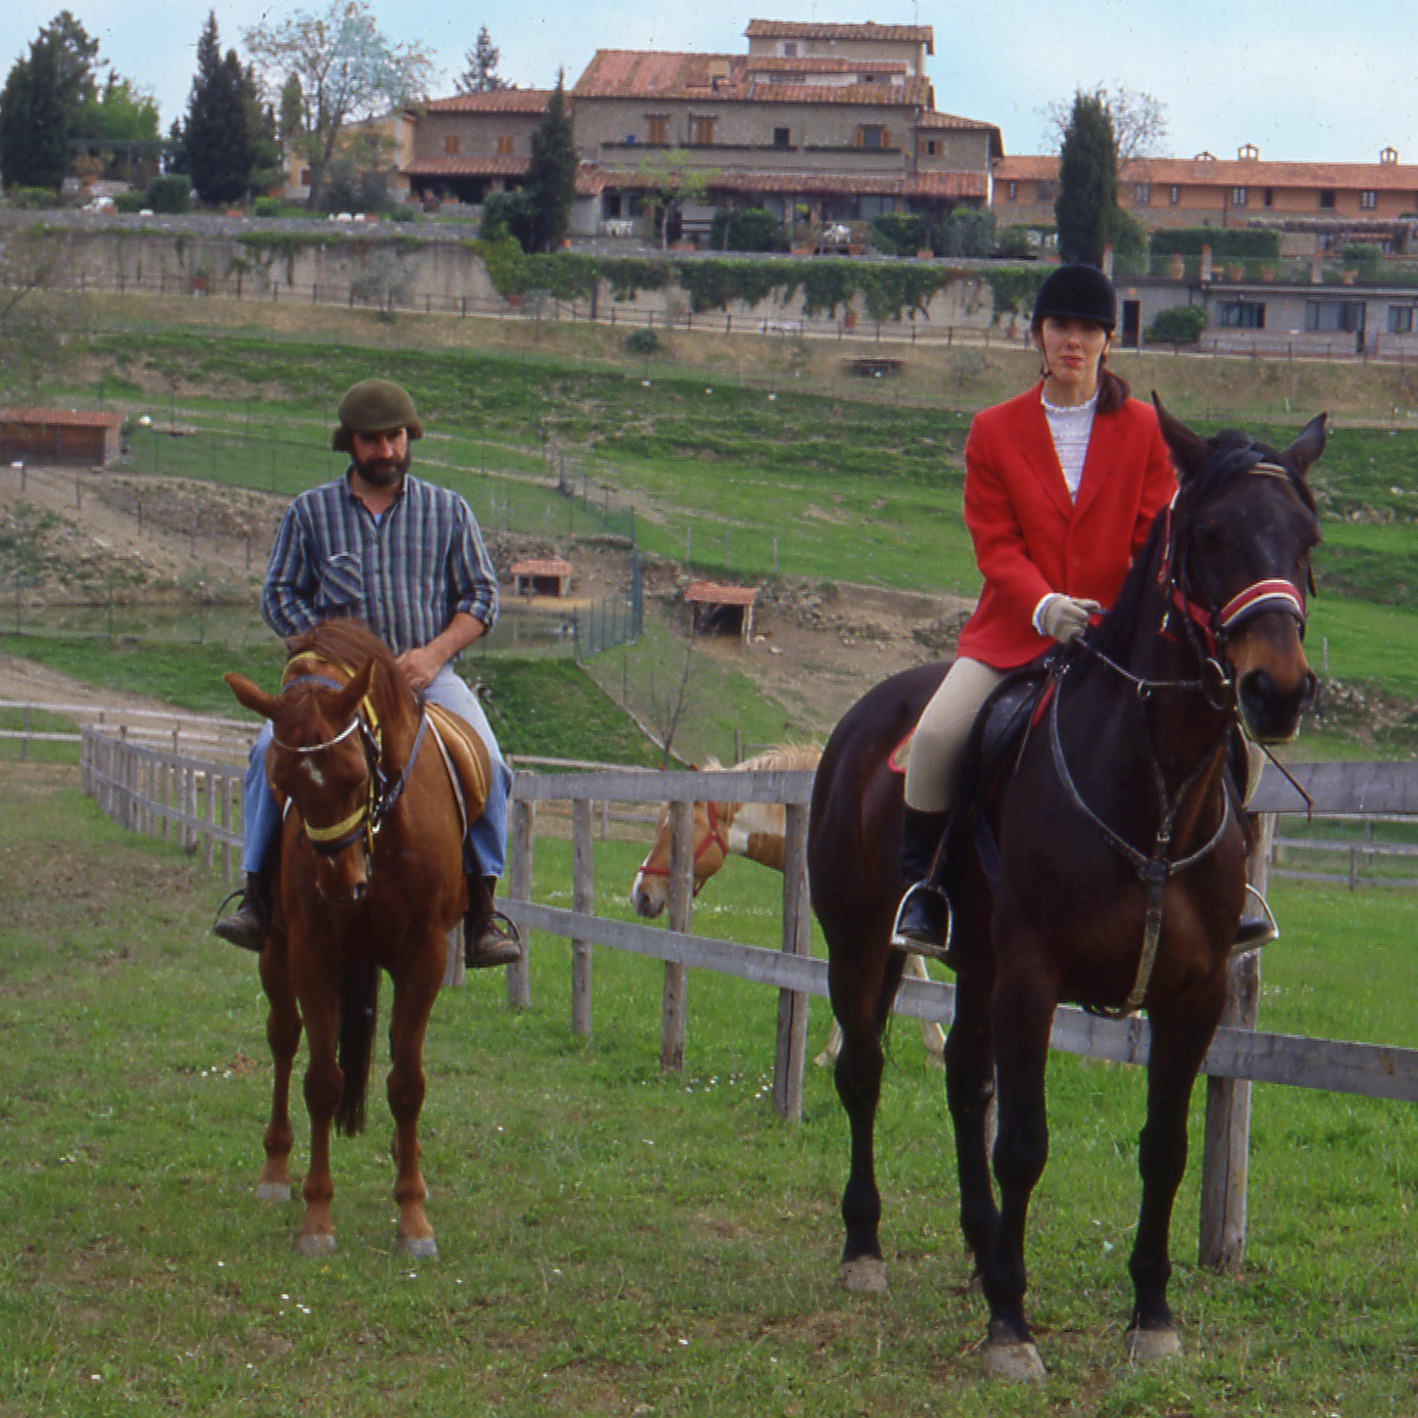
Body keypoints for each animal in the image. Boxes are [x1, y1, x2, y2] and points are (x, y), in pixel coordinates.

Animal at [225, 615, 476, 1259]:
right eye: (282, 779)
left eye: (357, 773)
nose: (341, 883)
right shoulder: (312, 954)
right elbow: (322, 1081)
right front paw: (317, 1218)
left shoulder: (423, 958)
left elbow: (407, 1083)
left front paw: (413, 1219)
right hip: (277, 954)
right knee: (284, 1039)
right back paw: (274, 1172)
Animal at [816, 405, 1321, 1378]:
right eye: (1209, 535)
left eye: (1306, 537)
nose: (1276, 691)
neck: (1153, 789)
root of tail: (867, 713)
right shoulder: (1033, 978)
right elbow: (1022, 1144)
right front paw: (1011, 1329)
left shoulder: (1194, 995)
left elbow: (1164, 1149)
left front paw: (1151, 1314)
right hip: (860, 947)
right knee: (863, 1073)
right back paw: (866, 1251)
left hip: (974, 964)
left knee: (964, 1081)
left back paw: (983, 1252)